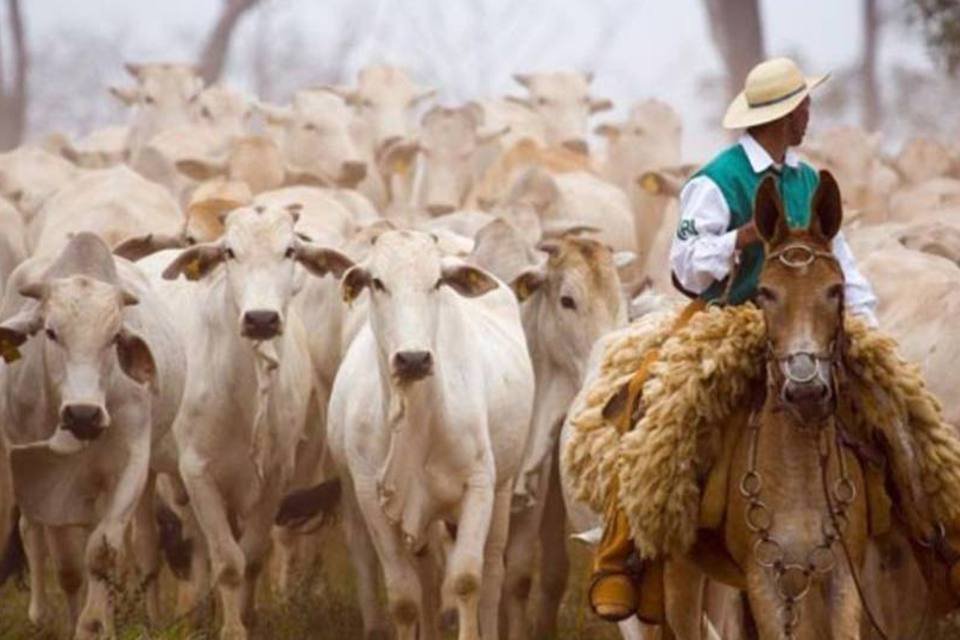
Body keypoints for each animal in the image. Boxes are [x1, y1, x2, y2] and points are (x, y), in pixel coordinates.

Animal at [0, 234, 185, 636]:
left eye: (114, 337)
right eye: (50, 332)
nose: (83, 414)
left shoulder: (131, 465)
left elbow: (101, 553)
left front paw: (96, 625)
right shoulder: (43, 474)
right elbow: (68, 566)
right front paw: (74, 621)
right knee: (30, 529)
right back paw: (39, 614)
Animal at [322, 230, 532, 640]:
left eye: (437, 282)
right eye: (377, 282)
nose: (414, 359)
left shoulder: (479, 486)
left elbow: (467, 579)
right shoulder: (372, 497)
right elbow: (405, 596)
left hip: (503, 488)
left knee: (492, 571)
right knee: (427, 574)